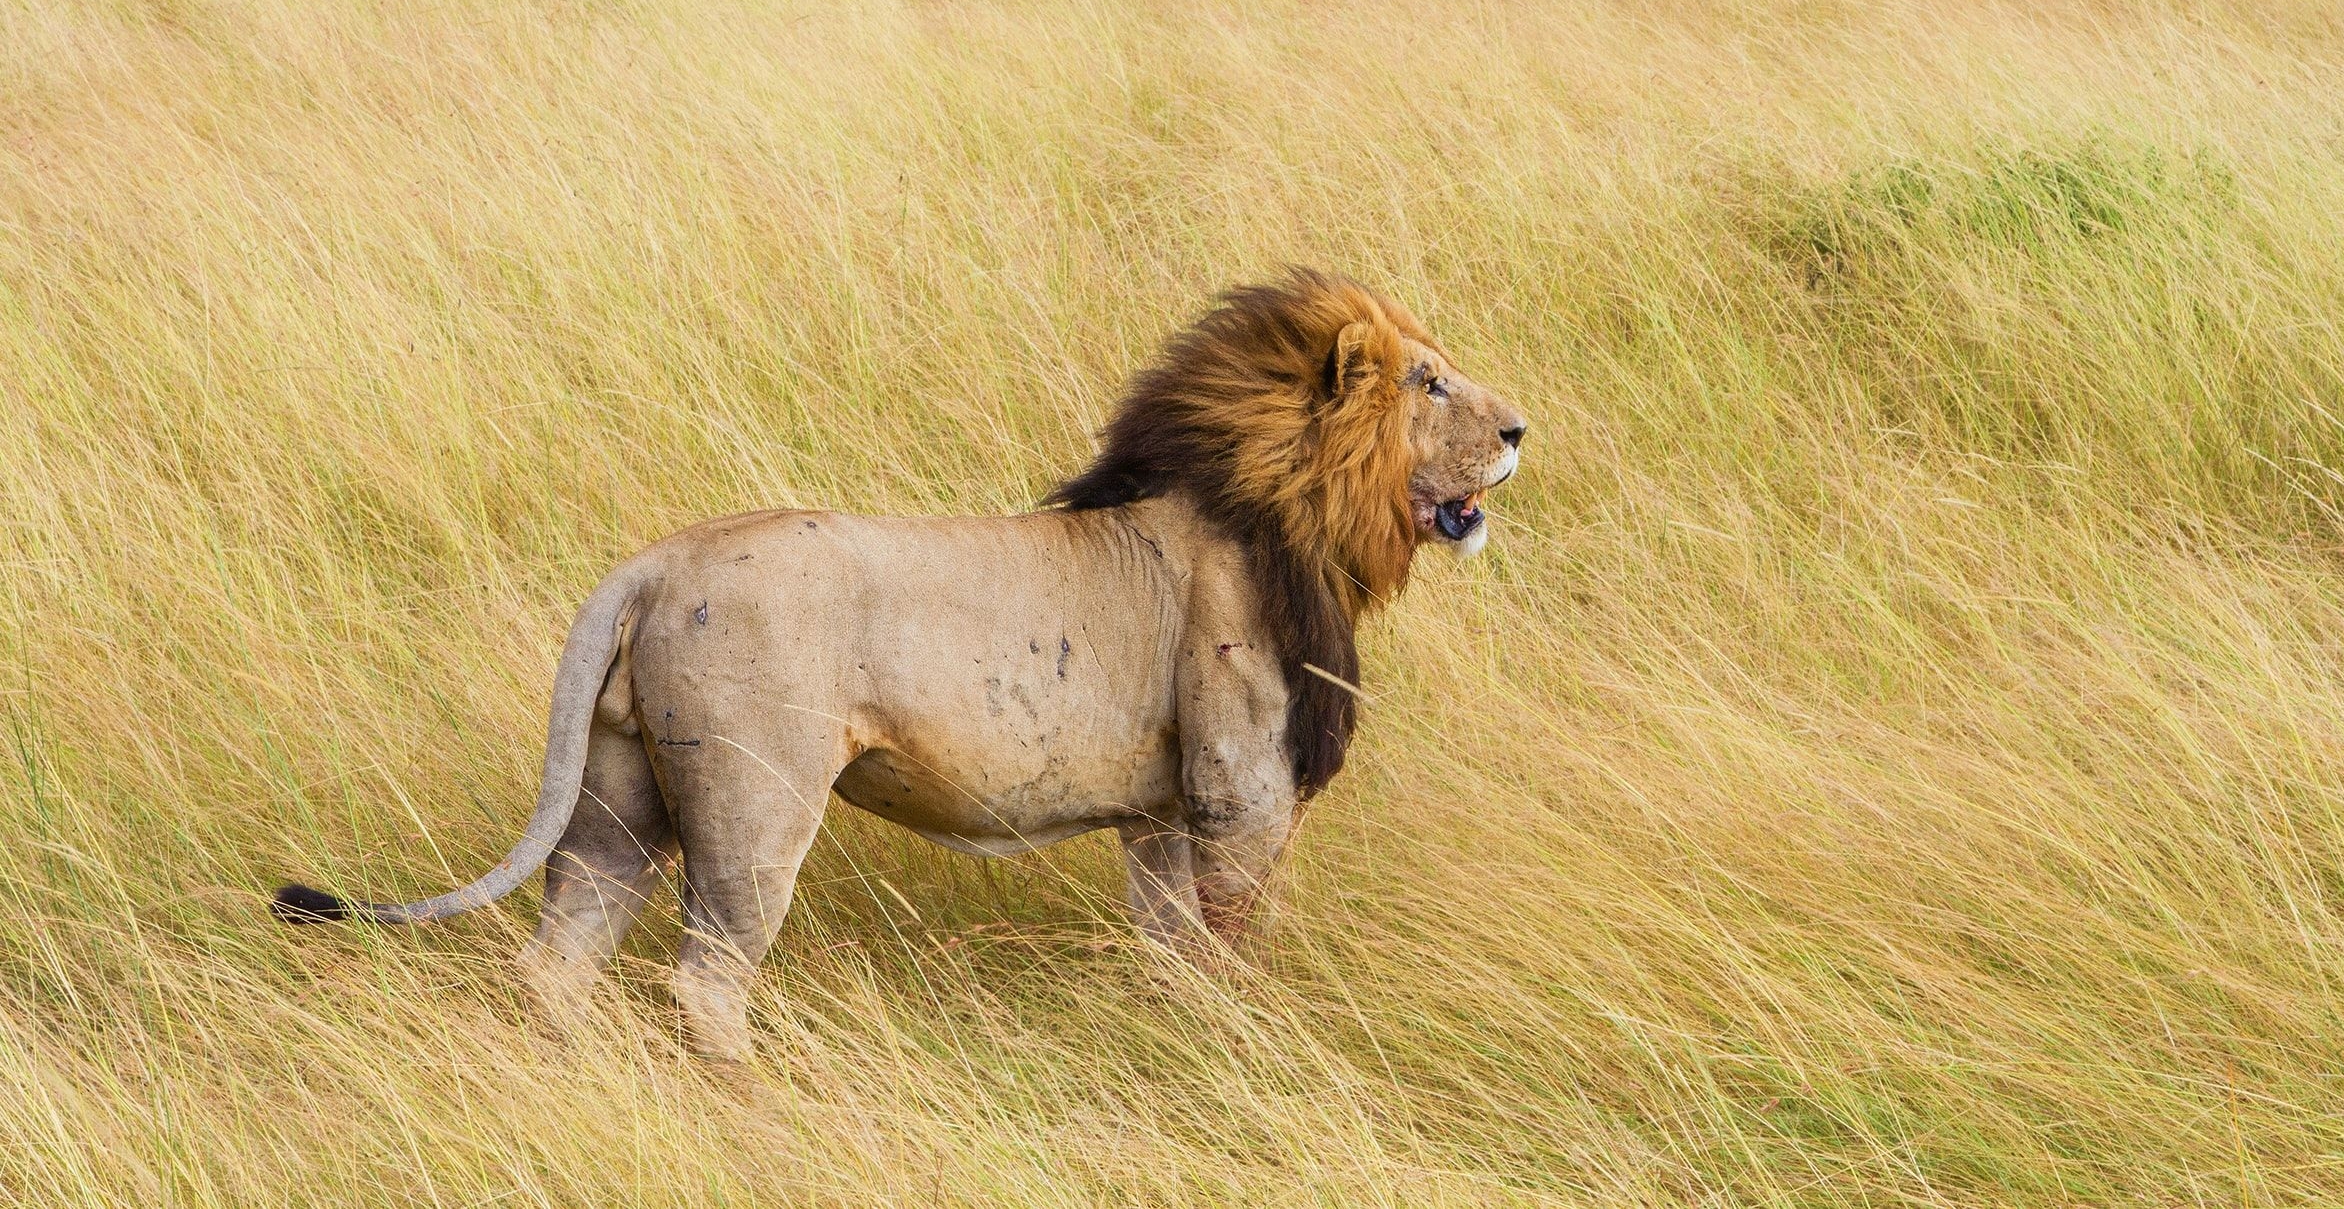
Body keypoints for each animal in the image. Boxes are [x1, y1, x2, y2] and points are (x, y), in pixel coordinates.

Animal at [274, 267, 1528, 1059]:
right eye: (1428, 383)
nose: (1520, 431)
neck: (1290, 513)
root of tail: (649, 566)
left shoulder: (1162, 814)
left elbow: (1173, 953)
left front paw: (1182, 1038)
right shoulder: (1238, 791)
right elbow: (1234, 944)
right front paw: (1247, 1046)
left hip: (619, 796)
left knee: (558, 961)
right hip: (756, 801)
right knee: (706, 978)